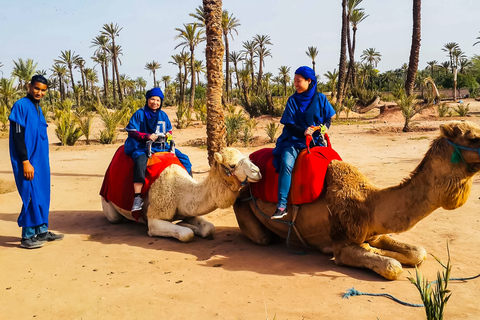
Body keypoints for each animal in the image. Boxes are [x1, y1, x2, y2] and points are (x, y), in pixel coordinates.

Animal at [103, 148, 260, 242]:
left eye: (245, 156)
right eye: (232, 165)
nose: (257, 171)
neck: (179, 192)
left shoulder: (188, 210)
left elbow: (209, 228)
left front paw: (185, 224)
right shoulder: (154, 217)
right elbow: (186, 234)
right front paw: (186, 227)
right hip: (108, 204)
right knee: (114, 217)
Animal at [232, 120, 480, 280]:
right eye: (473, 137)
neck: (369, 203)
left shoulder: (376, 232)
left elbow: (418, 252)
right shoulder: (343, 245)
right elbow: (392, 267)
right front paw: (383, 256)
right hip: (244, 209)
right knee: (263, 237)